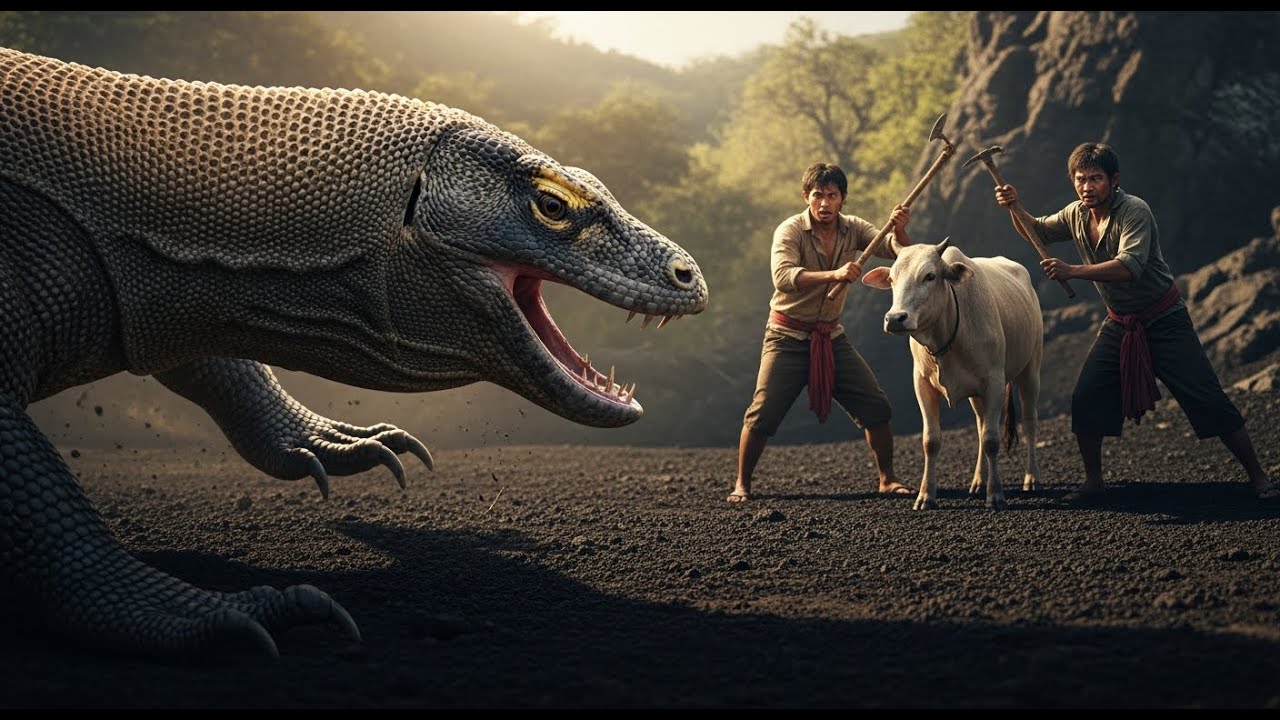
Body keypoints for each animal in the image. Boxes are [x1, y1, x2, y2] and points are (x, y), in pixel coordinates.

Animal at [862, 237, 1042, 510]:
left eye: (929, 276)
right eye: (892, 278)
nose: (895, 318)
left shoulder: (994, 383)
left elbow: (991, 440)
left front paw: (996, 495)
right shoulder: (922, 384)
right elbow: (931, 441)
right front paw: (926, 496)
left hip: (1030, 371)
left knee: (1030, 423)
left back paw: (1031, 479)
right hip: (978, 395)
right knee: (980, 425)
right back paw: (978, 482)